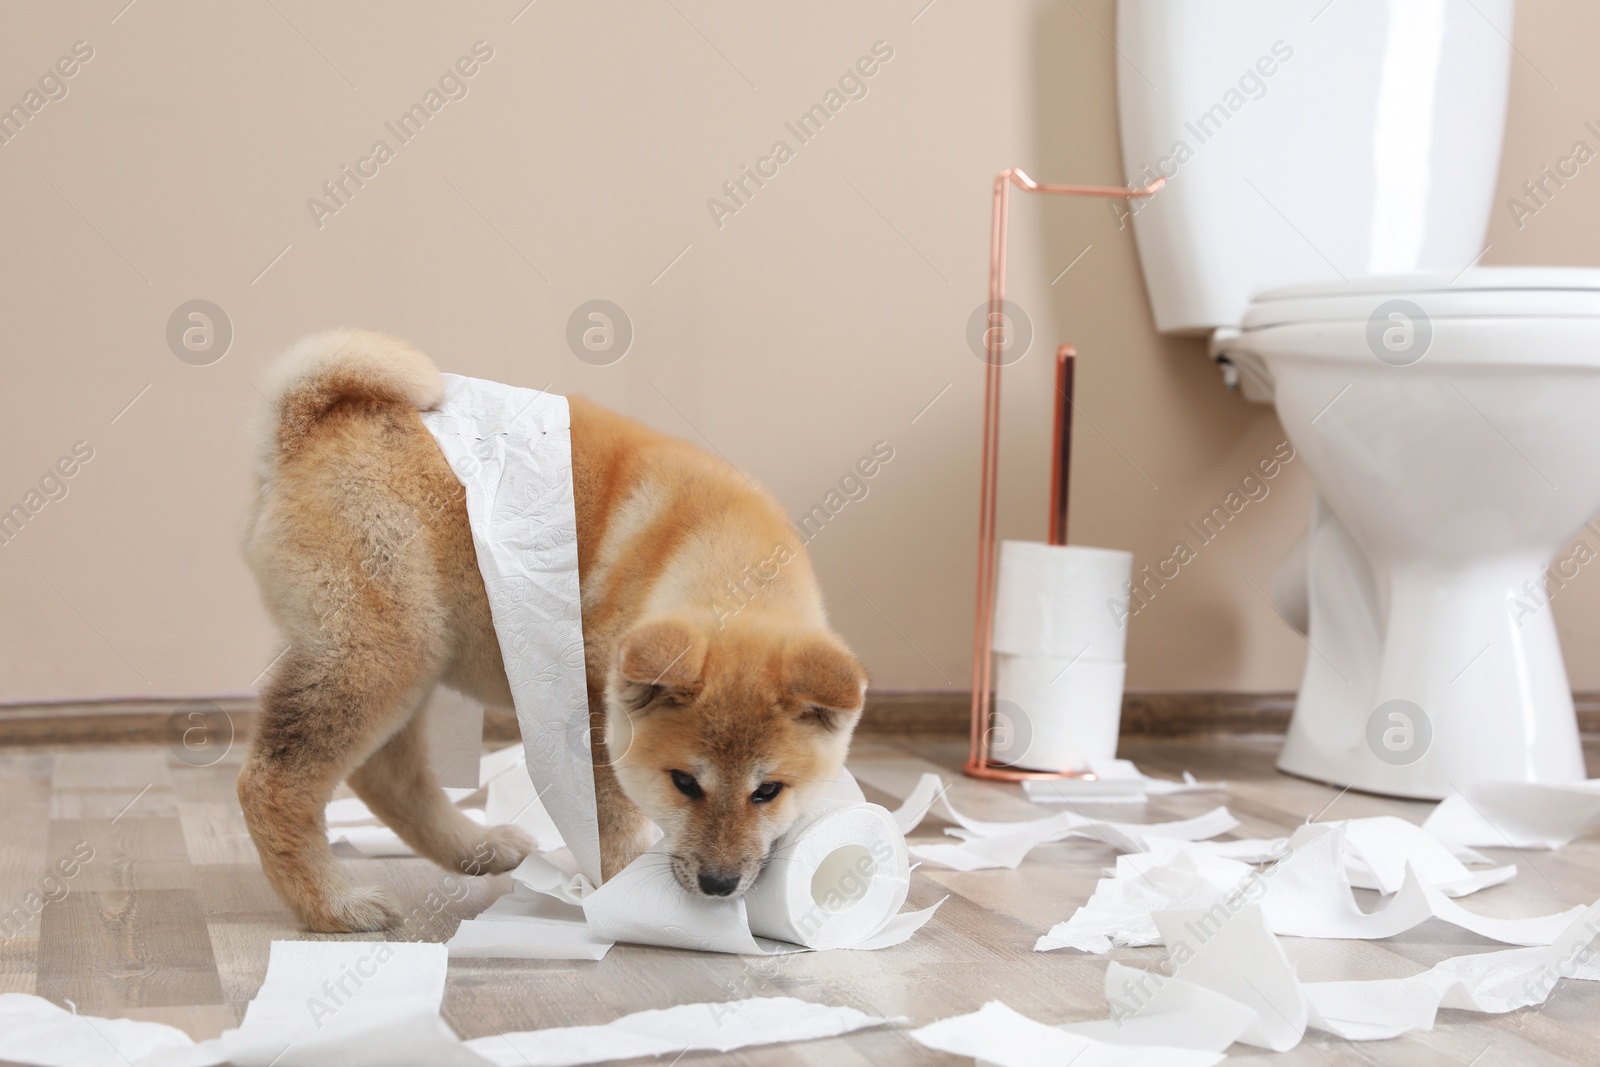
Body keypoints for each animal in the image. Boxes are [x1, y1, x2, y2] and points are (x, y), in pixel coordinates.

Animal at [238, 329, 870, 927]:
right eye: (685, 783)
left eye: (768, 791)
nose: (719, 884)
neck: (709, 553)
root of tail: (304, 424)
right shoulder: (591, 719)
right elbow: (615, 827)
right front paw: (625, 896)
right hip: (384, 653)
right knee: (275, 780)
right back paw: (332, 904)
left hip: (408, 657)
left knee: (387, 777)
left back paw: (475, 848)